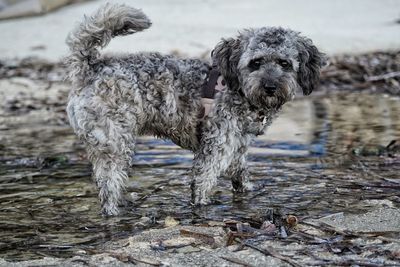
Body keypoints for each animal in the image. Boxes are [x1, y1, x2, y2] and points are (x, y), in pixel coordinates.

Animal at [65, 3, 324, 216]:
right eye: (256, 63)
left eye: (284, 63)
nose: (270, 87)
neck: (238, 90)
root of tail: (91, 68)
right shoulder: (217, 145)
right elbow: (203, 180)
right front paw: (202, 205)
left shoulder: (238, 145)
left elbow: (240, 173)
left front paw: (247, 190)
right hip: (115, 144)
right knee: (108, 185)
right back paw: (113, 211)